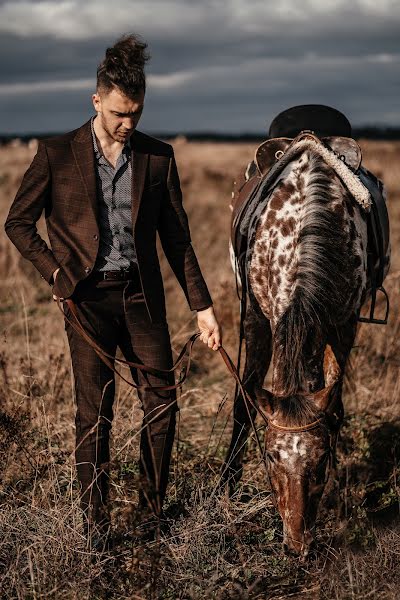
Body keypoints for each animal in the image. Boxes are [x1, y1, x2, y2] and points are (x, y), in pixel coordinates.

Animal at [222, 120, 384, 556]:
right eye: (271, 457)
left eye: (322, 460)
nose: (296, 544)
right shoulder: (257, 317)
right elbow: (244, 402)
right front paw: (227, 485)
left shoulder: (345, 323)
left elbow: (336, 404)